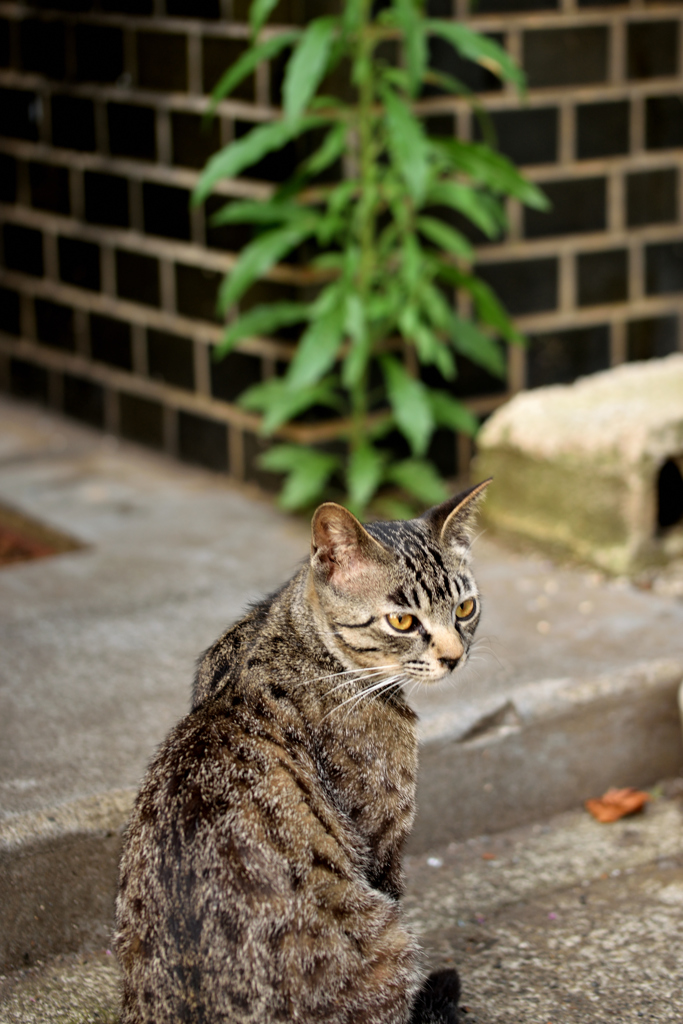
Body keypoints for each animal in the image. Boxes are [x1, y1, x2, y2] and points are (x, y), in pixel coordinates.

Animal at [117, 481, 491, 1024]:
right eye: (402, 621)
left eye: (465, 609)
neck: (288, 633)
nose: (454, 656)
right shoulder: (381, 840)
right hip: (388, 939)